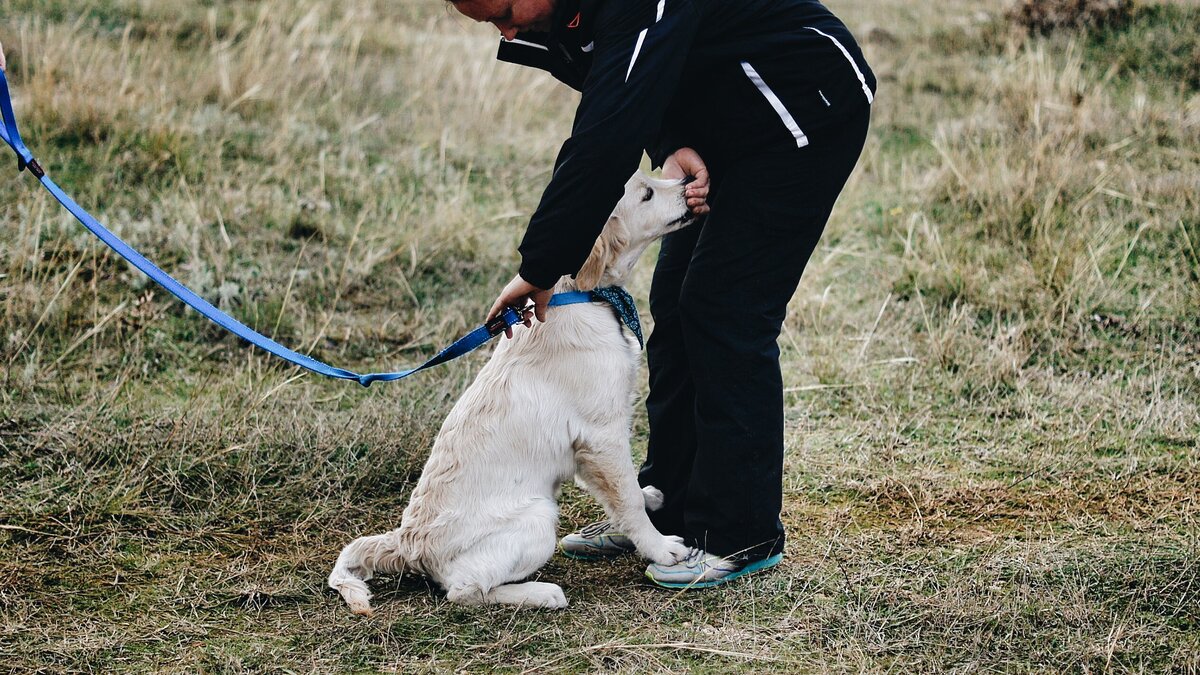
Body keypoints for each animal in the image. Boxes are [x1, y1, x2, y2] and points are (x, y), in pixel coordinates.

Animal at [328, 169, 700, 610]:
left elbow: (626, 494)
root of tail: (407, 544)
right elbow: (626, 496)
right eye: (646, 194)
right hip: (538, 518)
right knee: (464, 591)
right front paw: (662, 548)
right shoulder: (601, 434)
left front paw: (650, 497)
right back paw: (543, 593)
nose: (691, 182)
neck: (580, 294)